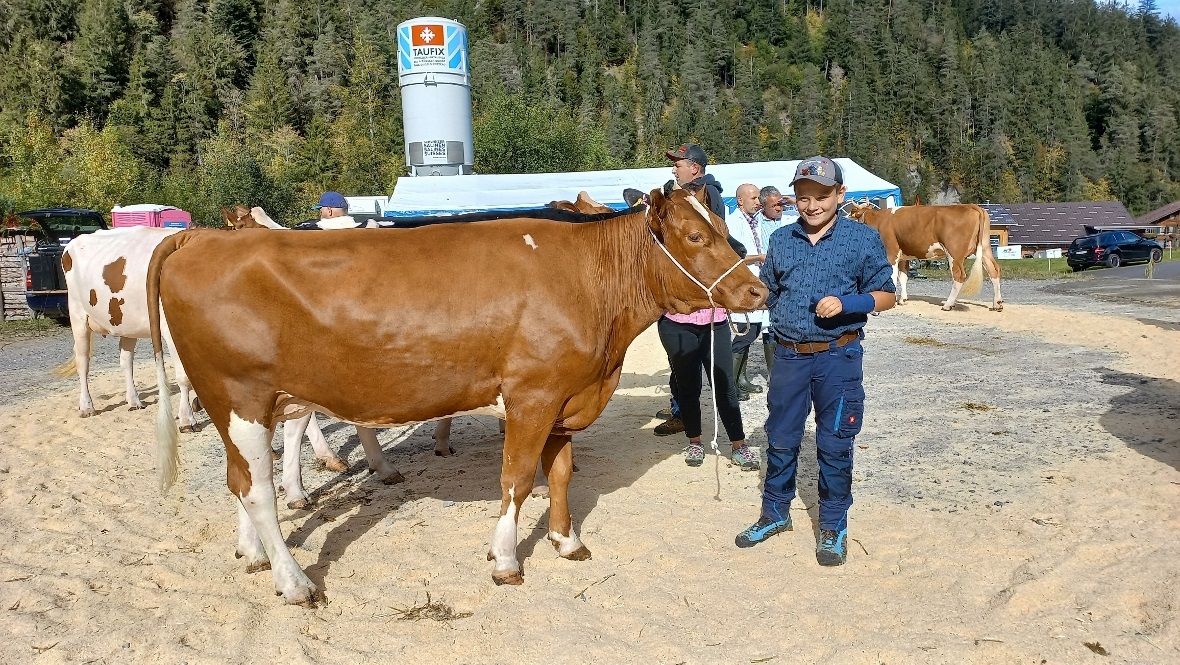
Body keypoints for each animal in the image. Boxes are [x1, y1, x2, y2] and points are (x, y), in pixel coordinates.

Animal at [146, 186, 768, 604]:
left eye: (722, 228)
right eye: (696, 236)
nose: (758, 289)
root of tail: (199, 237)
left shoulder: (566, 396)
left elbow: (561, 474)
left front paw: (566, 541)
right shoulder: (532, 395)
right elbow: (516, 479)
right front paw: (506, 560)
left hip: (247, 404)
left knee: (239, 479)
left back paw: (253, 554)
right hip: (241, 396)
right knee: (257, 491)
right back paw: (295, 581)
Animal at [846, 203, 1003, 311]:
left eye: (851, 214)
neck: (879, 220)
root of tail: (972, 206)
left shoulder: (891, 252)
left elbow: (892, 276)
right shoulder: (904, 257)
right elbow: (903, 277)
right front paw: (903, 300)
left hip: (955, 253)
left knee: (959, 276)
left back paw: (948, 304)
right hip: (985, 249)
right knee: (994, 270)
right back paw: (997, 304)